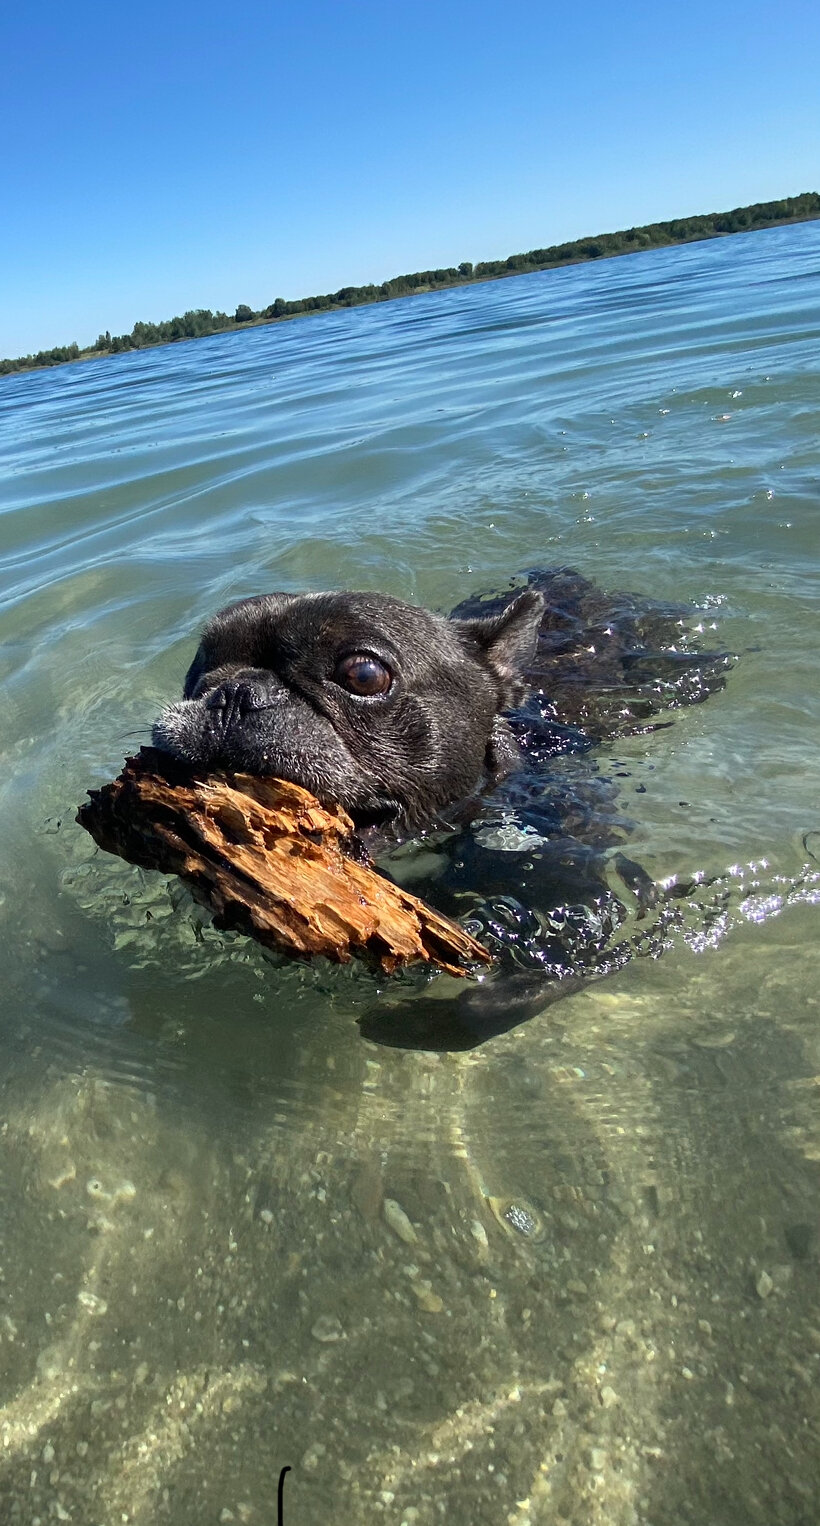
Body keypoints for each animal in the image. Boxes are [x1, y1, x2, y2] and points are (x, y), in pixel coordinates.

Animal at [153, 573, 729, 1049]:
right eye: (198, 670)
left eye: (364, 674)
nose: (232, 692)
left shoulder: (587, 926)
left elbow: (500, 1002)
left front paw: (411, 1023)